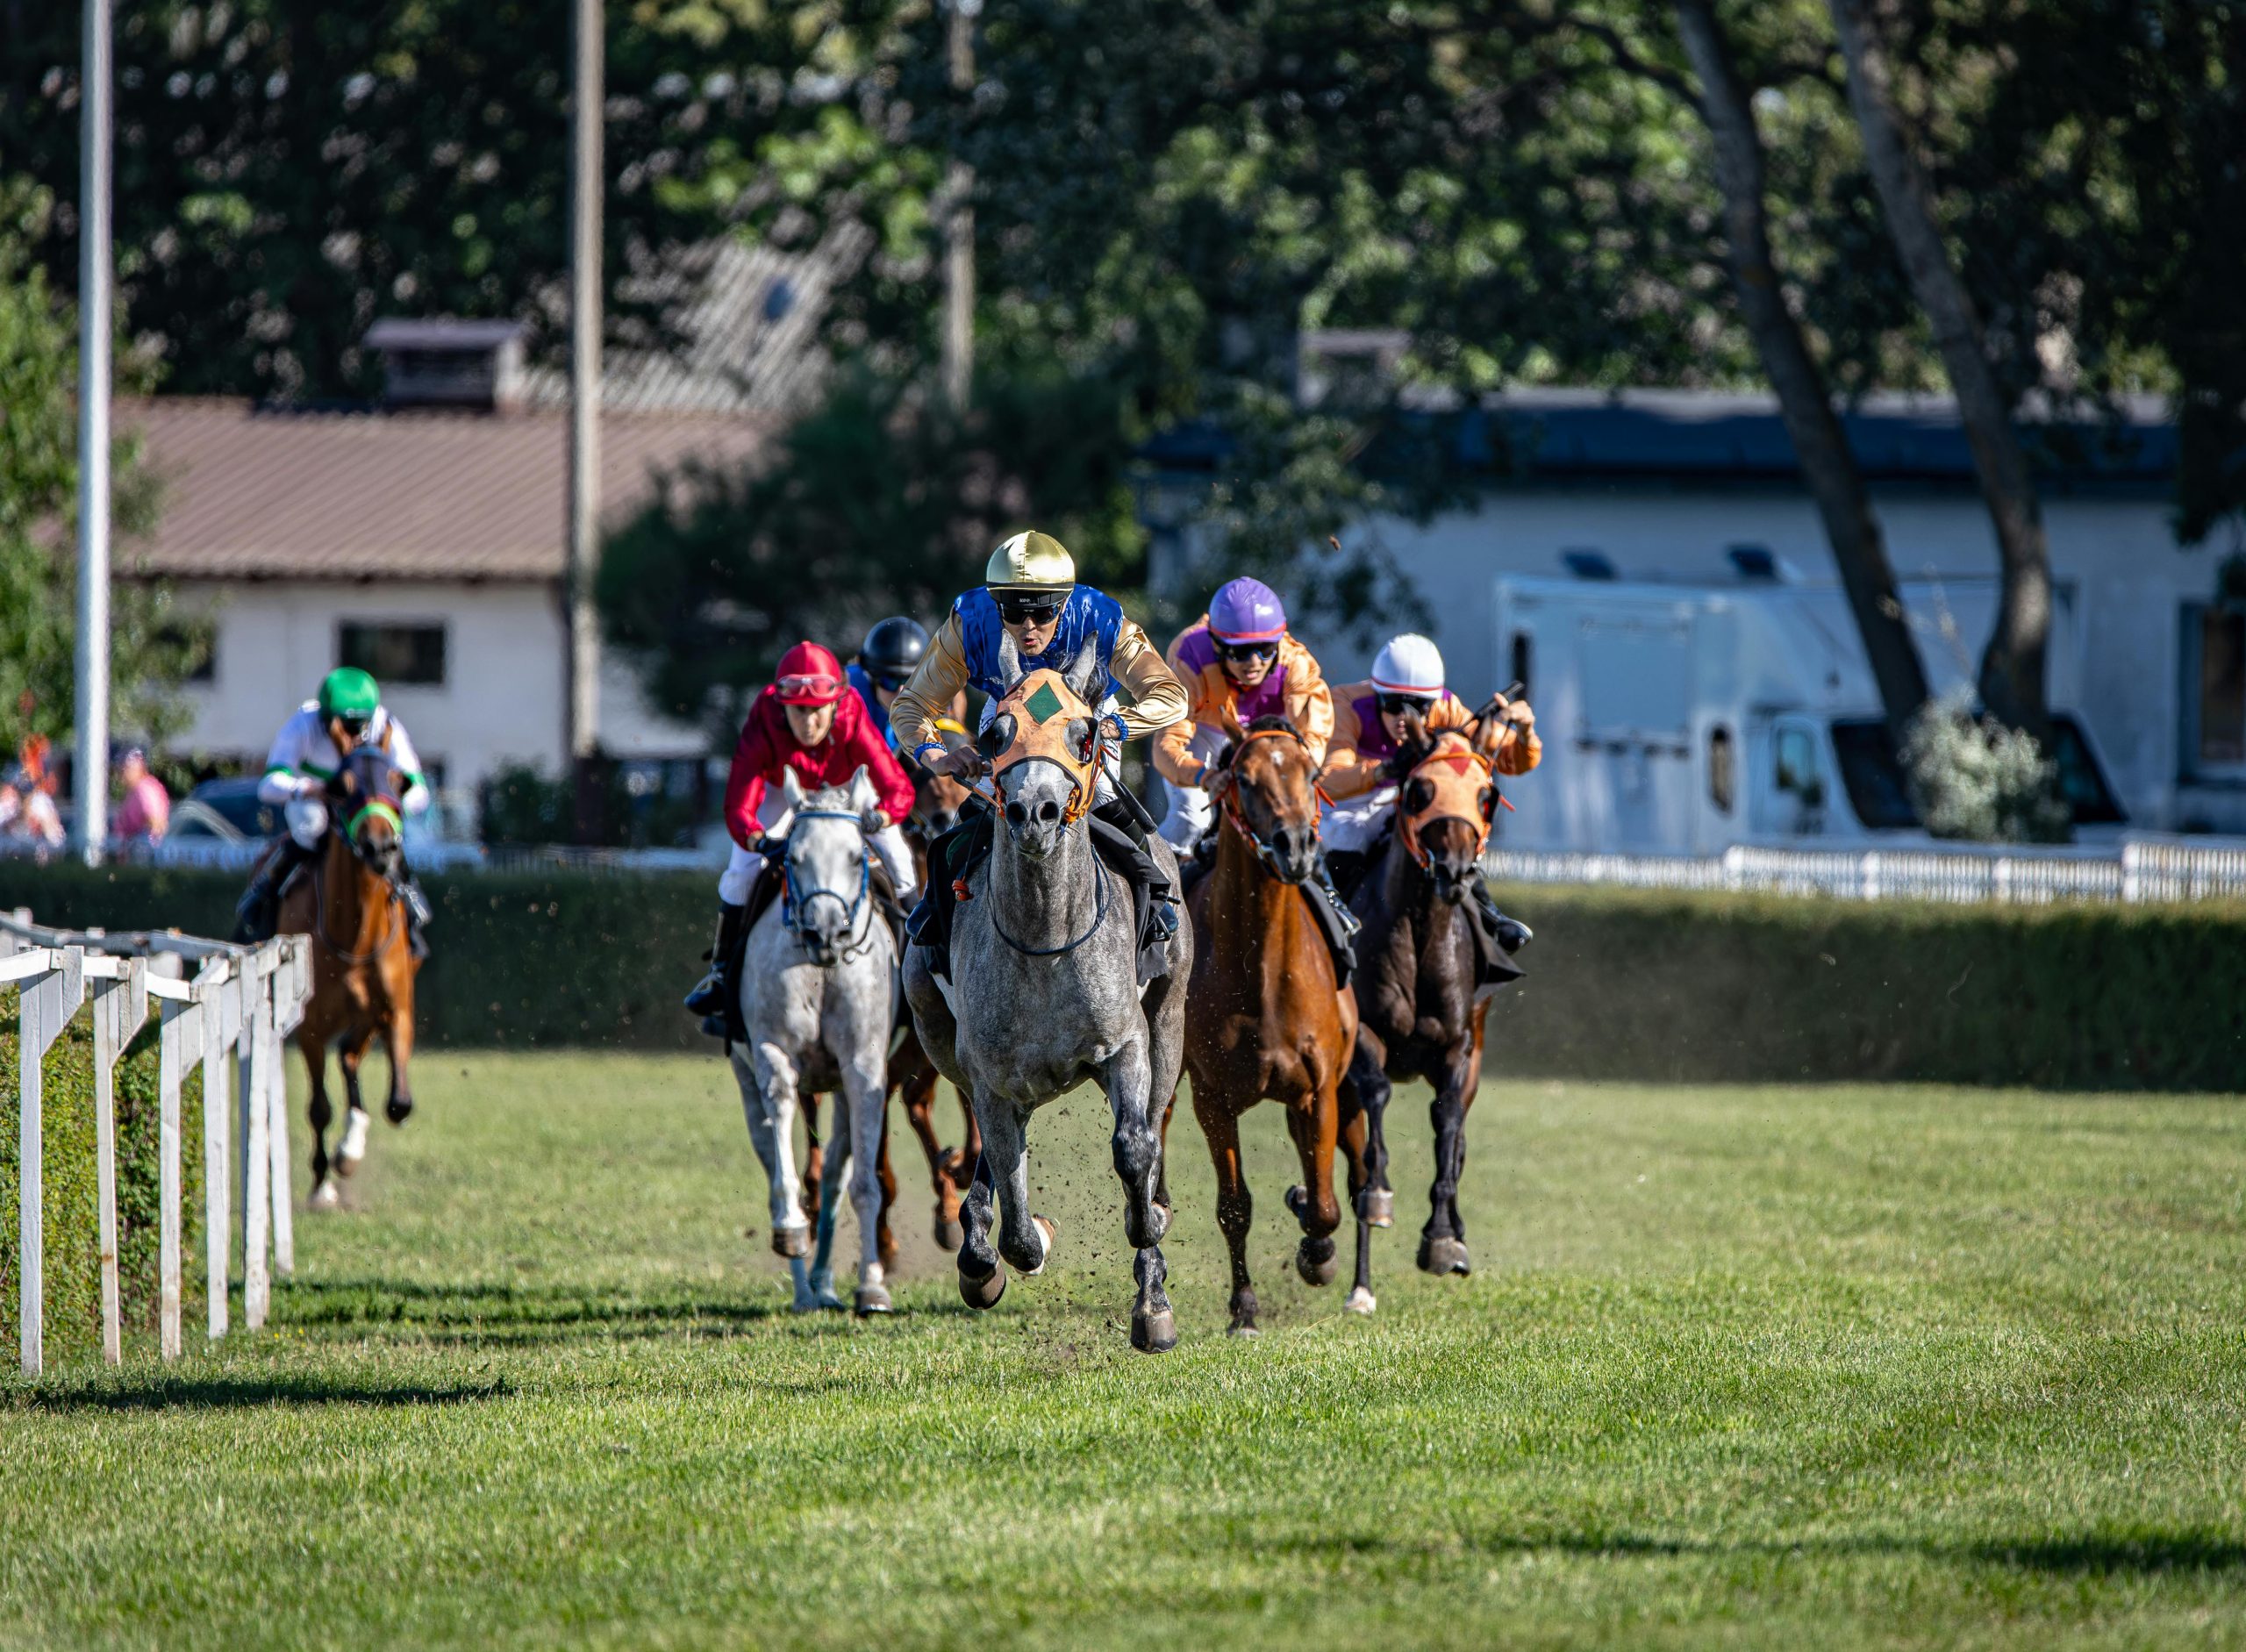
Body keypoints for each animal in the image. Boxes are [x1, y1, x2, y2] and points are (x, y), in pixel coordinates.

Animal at [281, 740, 422, 1203]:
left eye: (399, 782)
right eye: (341, 787)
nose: (380, 848)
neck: (355, 934)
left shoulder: (395, 1010)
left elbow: (398, 1103)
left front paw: (349, 1150)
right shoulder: (310, 1027)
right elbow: (318, 1108)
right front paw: (322, 1183)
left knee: (350, 1056)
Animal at [732, 762, 898, 1319]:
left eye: (854, 855)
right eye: (794, 858)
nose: (826, 933)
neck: (823, 969)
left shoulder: (863, 1069)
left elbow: (864, 1185)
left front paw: (872, 1288)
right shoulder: (771, 1054)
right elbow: (783, 1161)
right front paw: (790, 1231)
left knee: (833, 1181)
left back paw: (826, 1284)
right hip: (747, 1079)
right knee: (775, 1159)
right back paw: (806, 1287)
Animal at [907, 650, 1204, 1347]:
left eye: (1084, 734)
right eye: (995, 736)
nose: (1033, 812)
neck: (1044, 939)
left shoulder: (1124, 1044)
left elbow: (1135, 1149)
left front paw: (1151, 1265)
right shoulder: (992, 1075)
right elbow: (1014, 1215)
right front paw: (1017, 1242)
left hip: (1169, 1020)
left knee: (1149, 1125)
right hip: (939, 1032)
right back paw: (978, 1248)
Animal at [1177, 718, 1348, 1337]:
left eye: (1312, 773)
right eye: (1245, 780)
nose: (1294, 846)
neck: (1263, 971)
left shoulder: (1320, 1091)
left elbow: (1324, 1205)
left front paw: (1317, 1256)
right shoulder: (1211, 1098)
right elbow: (1234, 1206)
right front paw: (1245, 1309)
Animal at [1338, 704, 1518, 1311]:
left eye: (1486, 794)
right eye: (1420, 791)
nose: (1456, 872)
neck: (1420, 936)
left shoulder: (1461, 1047)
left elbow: (1447, 1127)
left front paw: (1442, 1238)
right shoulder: (1362, 1038)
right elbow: (1376, 1104)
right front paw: (1379, 1195)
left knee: (1458, 1142)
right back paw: (1359, 1284)